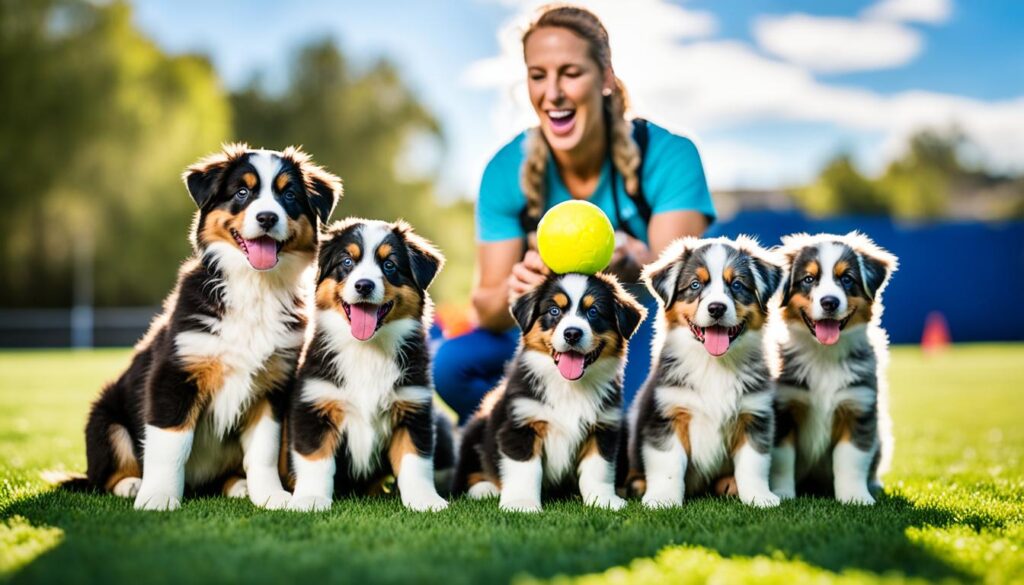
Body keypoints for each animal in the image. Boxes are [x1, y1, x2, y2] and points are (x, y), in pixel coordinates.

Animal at [79, 144, 342, 510]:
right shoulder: (175, 373)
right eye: (242, 192)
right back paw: (132, 484)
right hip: (105, 418)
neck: (254, 287)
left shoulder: (272, 385)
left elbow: (263, 452)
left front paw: (271, 495)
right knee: (101, 476)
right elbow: (170, 444)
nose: (267, 217)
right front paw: (159, 496)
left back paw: (238, 486)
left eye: (288, 195)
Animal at [286, 218, 450, 512]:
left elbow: (415, 460)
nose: (364, 285)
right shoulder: (314, 404)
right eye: (347, 262)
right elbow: (316, 459)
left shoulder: (414, 407)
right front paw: (311, 499)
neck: (367, 350)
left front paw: (424, 500)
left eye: (389, 265)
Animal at [452, 272, 643, 510]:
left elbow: (598, 469)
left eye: (593, 311)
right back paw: (484, 488)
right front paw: (522, 503)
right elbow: (525, 469)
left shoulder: (603, 427)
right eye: (554, 311)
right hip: (477, 425)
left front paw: (604, 500)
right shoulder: (521, 424)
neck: (568, 386)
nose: (572, 333)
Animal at [622, 236, 782, 508]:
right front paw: (663, 499)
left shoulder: (754, 414)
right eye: (695, 285)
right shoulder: (667, 414)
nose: (716, 308)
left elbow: (753, 463)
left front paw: (759, 497)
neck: (714, 365)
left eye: (737, 284)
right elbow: (668, 465)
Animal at [770, 231, 897, 506]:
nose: (829, 302)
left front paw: (856, 498)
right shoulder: (785, 408)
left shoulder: (858, 407)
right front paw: (782, 493)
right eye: (809, 279)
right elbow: (782, 459)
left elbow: (851, 460)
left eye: (846, 279)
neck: (823, 356)